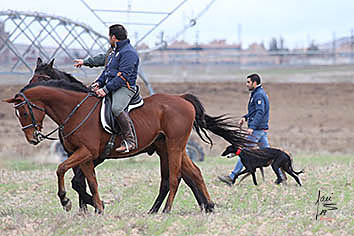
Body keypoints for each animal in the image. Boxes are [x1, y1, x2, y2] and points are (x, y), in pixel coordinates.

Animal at [4, 79, 250, 214]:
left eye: (23, 111)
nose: (32, 138)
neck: (75, 110)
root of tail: (182, 98)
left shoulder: (86, 153)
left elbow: (61, 169)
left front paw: (66, 201)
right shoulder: (84, 155)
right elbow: (89, 181)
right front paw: (98, 207)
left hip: (174, 146)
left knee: (174, 177)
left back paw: (167, 210)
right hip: (168, 148)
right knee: (192, 174)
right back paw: (201, 206)